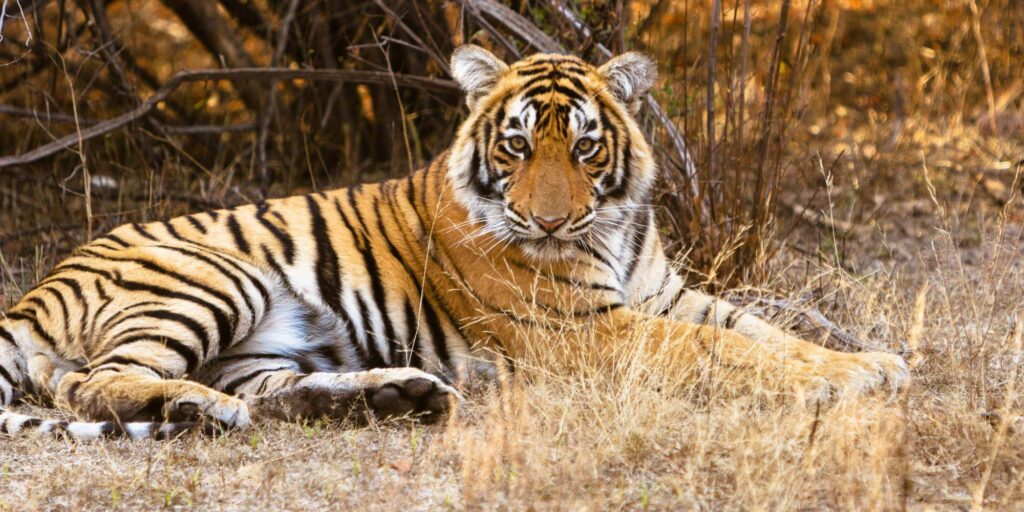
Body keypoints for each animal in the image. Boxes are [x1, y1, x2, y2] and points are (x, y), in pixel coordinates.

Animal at [2, 47, 913, 440]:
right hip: (211, 279)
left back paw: (393, 397)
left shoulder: (665, 294)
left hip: (263, 344)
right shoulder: (588, 331)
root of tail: (34, 290)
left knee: (272, 396)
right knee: (92, 384)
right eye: (516, 145)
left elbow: (760, 330)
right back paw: (200, 409)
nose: (548, 224)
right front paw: (852, 375)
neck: (614, 227)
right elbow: (725, 350)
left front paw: (874, 358)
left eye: (586, 147)